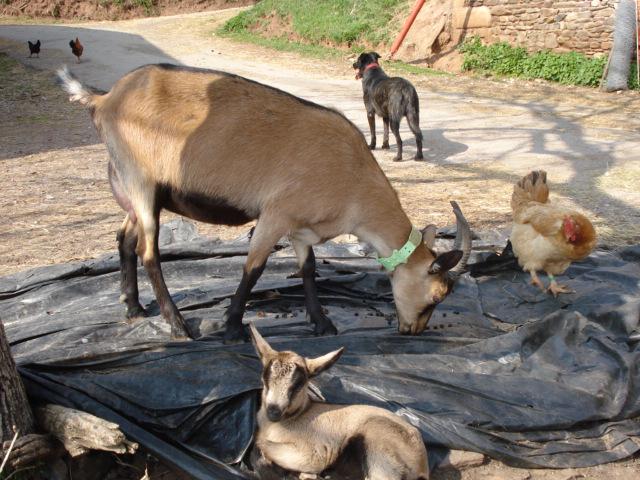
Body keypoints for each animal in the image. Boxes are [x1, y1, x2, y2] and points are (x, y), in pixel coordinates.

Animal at [58, 64, 470, 342]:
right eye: (437, 294)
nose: (413, 330)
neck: (351, 174)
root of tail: (105, 98)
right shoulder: (275, 215)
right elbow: (253, 268)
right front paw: (233, 327)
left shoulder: (302, 228)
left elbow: (308, 270)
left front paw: (322, 323)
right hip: (140, 180)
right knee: (149, 251)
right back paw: (177, 325)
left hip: (136, 190)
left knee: (124, 237)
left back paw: (133, 307)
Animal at [250, 324, 430, 480]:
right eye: (265, 380)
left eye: (299, 385)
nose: (273, 411)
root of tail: (422, 465)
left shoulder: (312, 454)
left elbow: (260, 444)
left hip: (379, 445)